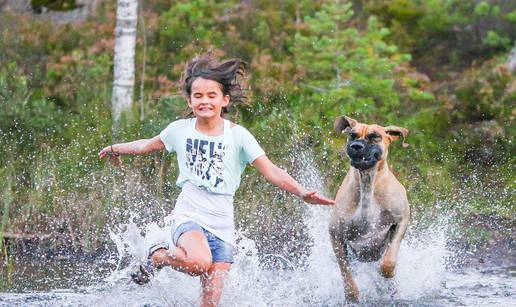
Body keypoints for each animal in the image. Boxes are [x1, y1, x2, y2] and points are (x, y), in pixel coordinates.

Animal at [330, 116, 412, 304]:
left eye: (374, 136)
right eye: (352, 135)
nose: (356, 146)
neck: (367, 182)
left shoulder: (401, 219)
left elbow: (389, 259)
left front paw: (386, 273)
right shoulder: (336, 234)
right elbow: (345, 271)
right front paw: (352, 295)